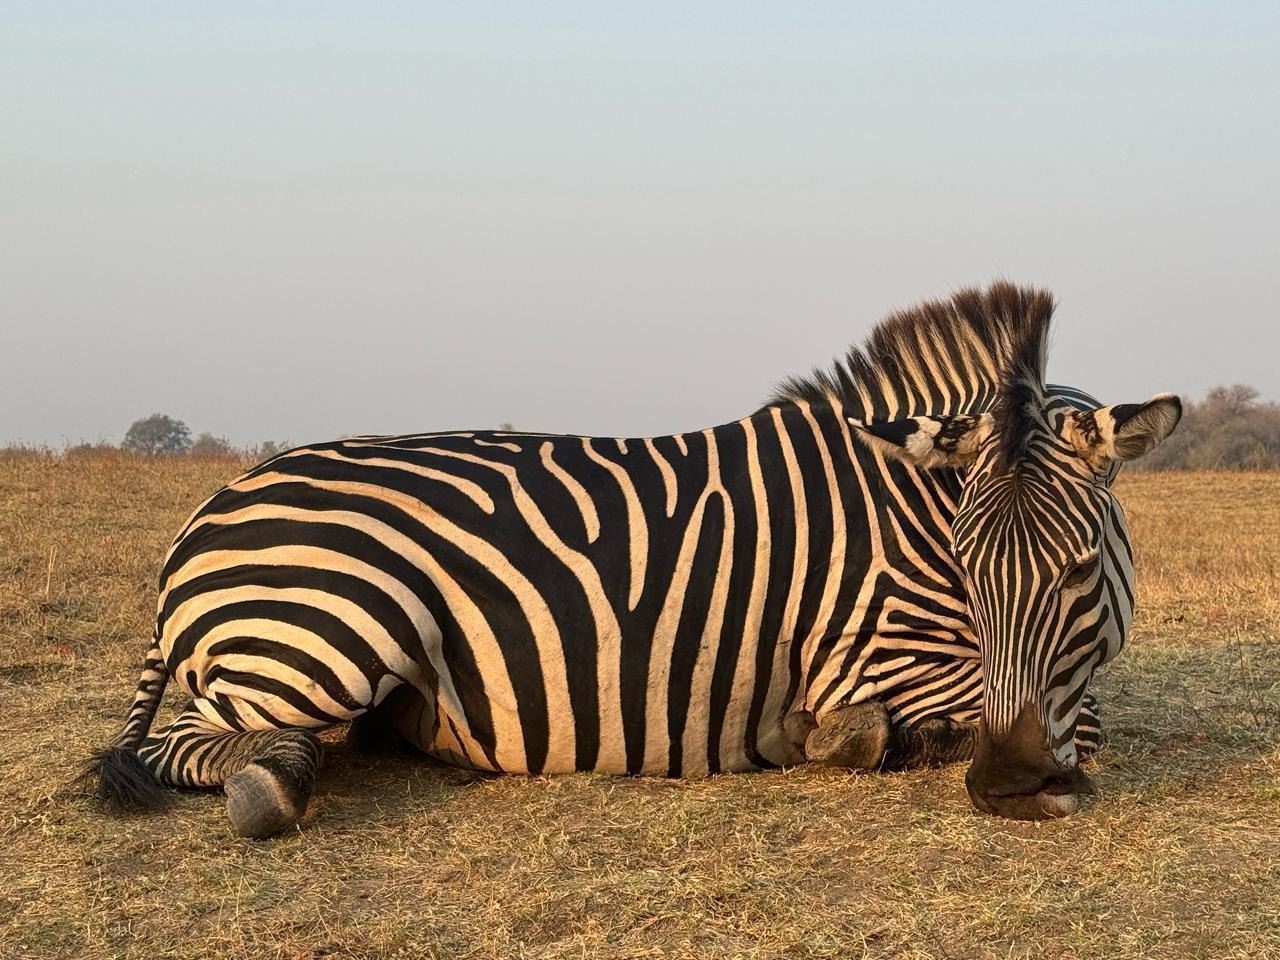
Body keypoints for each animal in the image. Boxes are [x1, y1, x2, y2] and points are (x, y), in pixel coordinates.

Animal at [89, 282, 1180, 836]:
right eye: (965, 565)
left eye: (1080, 569)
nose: (1007, 787)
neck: (904, 503)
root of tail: (206, 515)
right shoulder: (873, 653)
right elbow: (1071, 716)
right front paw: (833, 737)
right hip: (328, 635)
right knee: (193, 743)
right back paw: (271, 781)